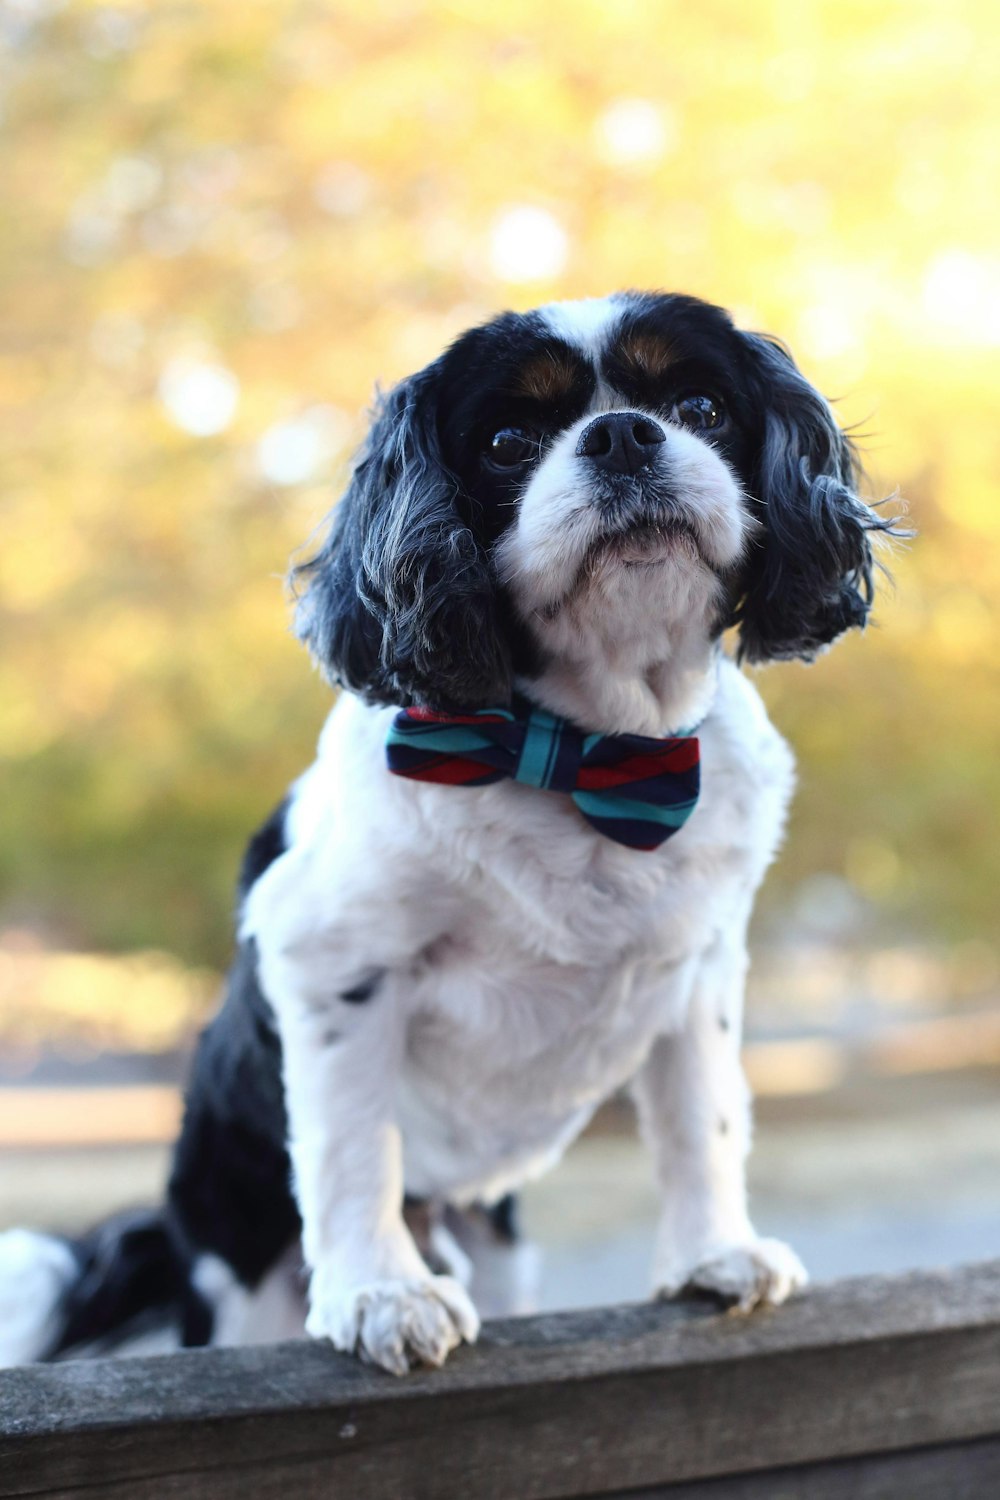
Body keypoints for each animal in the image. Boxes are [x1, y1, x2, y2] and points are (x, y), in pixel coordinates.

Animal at [0, 289, 899, 1374]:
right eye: (508, 442)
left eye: (700, 407)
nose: (624, 434)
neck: (584, 747)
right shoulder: (332, 960)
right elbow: (352, 1146)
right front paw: (380, 1292)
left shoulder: (699, 969)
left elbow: (703, 1119)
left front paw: (710, 1256)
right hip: (238, 1272)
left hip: (502, 1253)